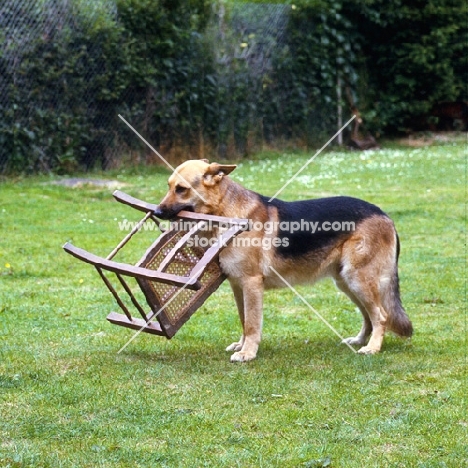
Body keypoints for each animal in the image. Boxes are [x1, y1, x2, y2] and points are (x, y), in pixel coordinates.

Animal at [155, 159, 412, 360]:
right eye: (168, 187)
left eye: (181, 189)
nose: (157, 212)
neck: (225, 213)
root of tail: (384, 215)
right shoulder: (238, 286)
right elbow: (244, 321)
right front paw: (242, 346)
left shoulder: (251, 284)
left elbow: (252, 323)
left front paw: (248, 353)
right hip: (347, 283)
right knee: (369, 315)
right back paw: (360, 340)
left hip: (357, 279)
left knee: (381, 315)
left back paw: (373, 348)